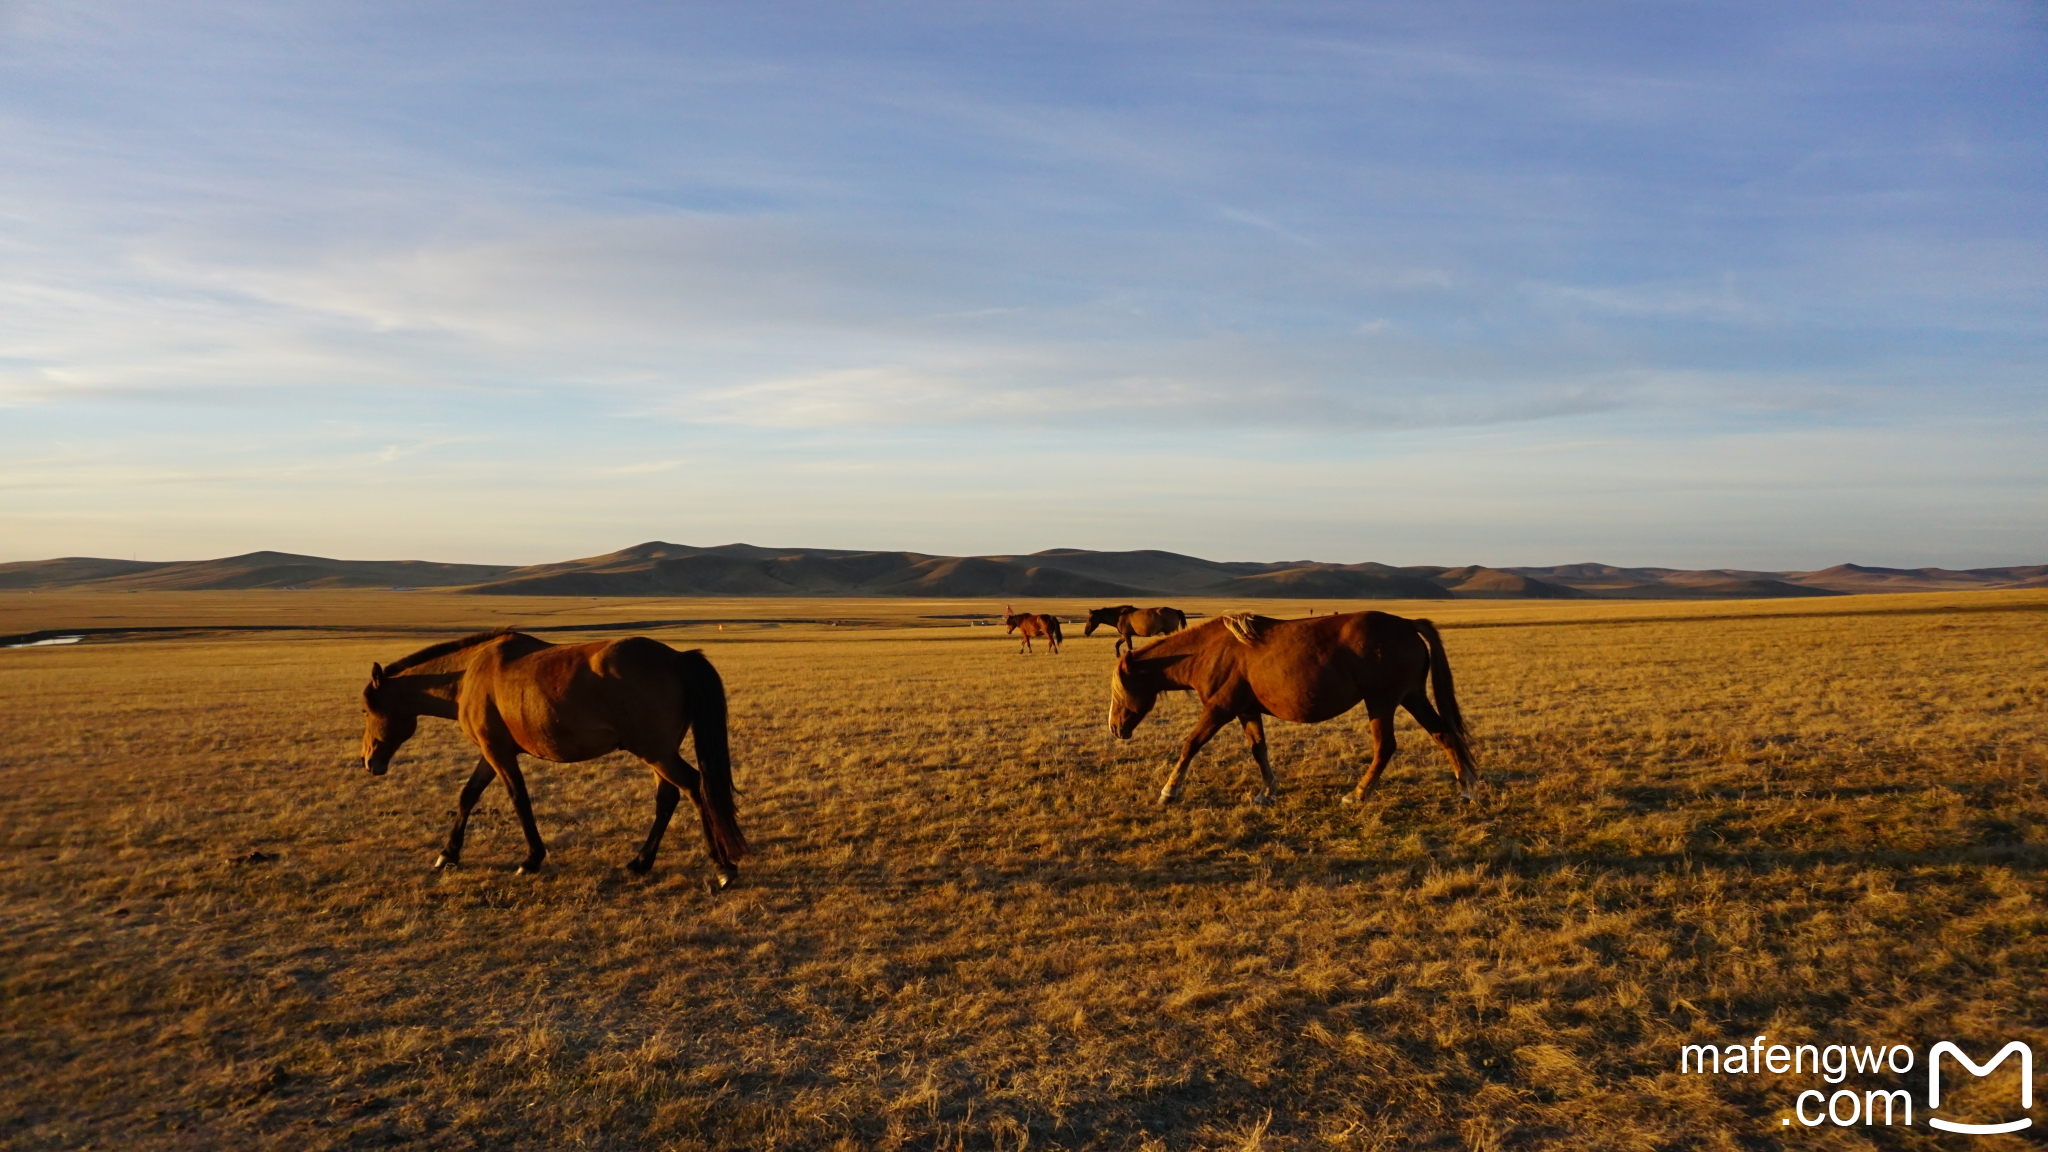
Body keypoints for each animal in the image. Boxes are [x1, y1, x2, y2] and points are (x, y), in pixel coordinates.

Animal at [356, 631, 749, 881]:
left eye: (365, 710)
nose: (367, 761)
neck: (468, 675)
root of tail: (678, 659)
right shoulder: (492, 750)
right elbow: (468, 795)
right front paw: (448, 854)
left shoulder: (497, 752)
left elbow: (518, 798)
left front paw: (531, 859)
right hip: (658, 753)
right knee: (667, 798)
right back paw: (640, 862)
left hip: (656, 752)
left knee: (694, 786)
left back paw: (721, 866)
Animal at [1105, 606, 1474, 803]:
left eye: (1120, 691)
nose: (1114, 727)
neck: (1210, 651)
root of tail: (1408, 624)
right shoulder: (1246, 710)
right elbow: (1259, 750)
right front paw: (1267, 791)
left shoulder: (1220, 709)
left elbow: (1190, 744)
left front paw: (1169, 790)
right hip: (1412, 696)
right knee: (1443, 734)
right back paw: (1467, 786)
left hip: (1381, 702)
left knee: (1385, 746)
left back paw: (1358, 793)